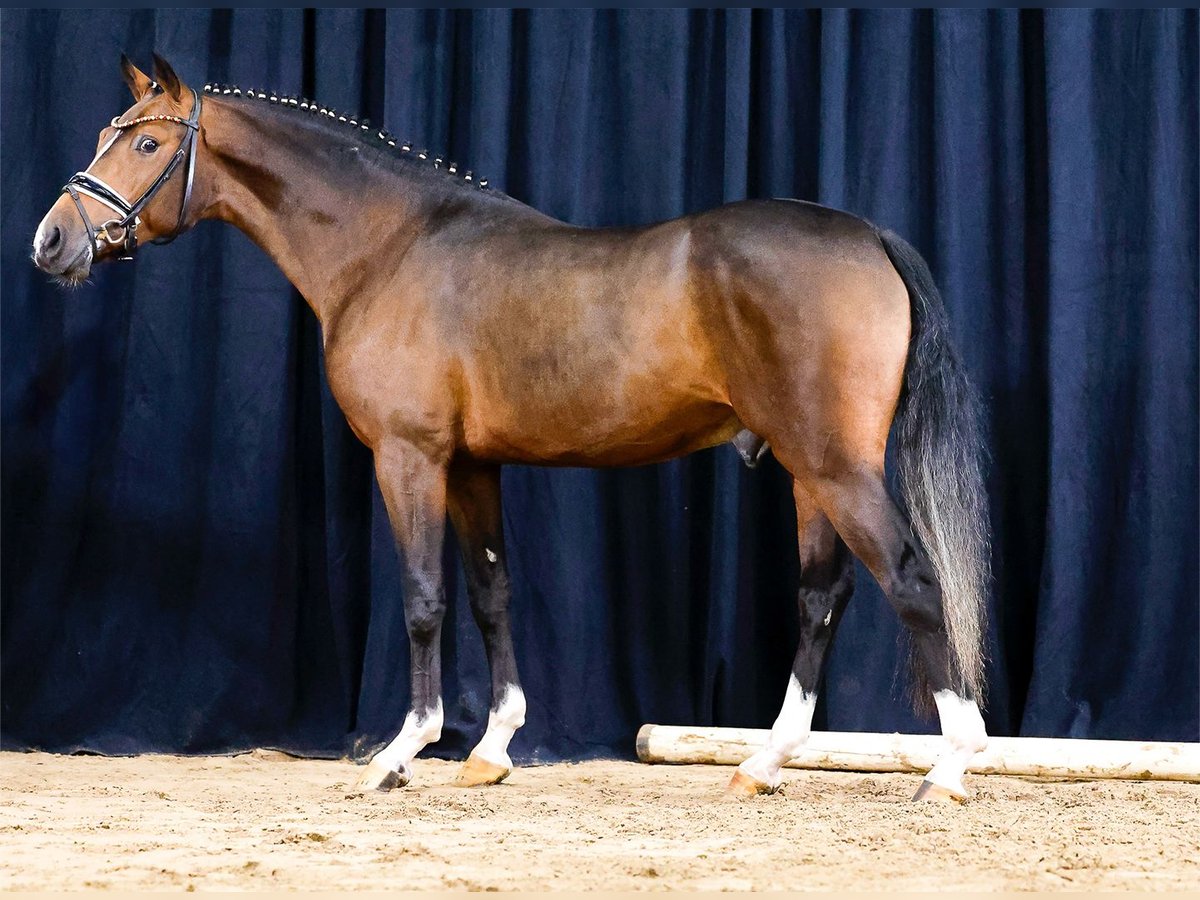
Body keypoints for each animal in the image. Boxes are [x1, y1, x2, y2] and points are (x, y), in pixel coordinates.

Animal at [30, 56, 993, 801]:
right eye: (108, 132)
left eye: (147, 143)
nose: (51, 241)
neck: (391, 247)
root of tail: (867, 235)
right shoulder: (473, 468)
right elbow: (490, 592)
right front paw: (490, 752)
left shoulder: (409, 458)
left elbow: (425, 597)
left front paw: (399, 754)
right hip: (809, 471)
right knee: (822, 598)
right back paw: (762, 764)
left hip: (833, 466)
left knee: (911, 581)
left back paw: (949, 767)